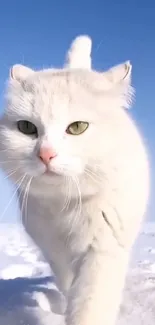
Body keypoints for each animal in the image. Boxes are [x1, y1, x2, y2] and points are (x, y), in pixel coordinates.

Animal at [0, 35, 150, 324]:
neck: (67, 206)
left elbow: (91, 305)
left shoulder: (102, 249)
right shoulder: (53, 250)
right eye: (26, 128)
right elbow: (67, 283)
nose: (46, 154)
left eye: (78, 127)